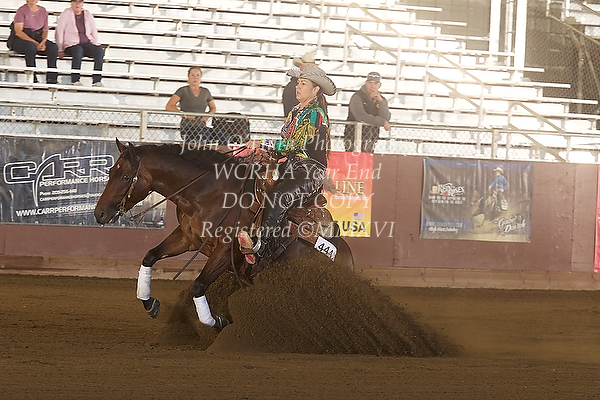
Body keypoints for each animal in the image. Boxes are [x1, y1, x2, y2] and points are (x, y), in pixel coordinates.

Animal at [94, 139, 355, 330]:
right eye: (110, 171)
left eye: (126, 177)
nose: (100, 213)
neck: (207, 193)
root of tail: (346, 258)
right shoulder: (186, 239)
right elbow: (149, 256)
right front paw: (150, 304)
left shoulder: (225, 251)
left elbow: (198, 285)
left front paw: (217, 321)